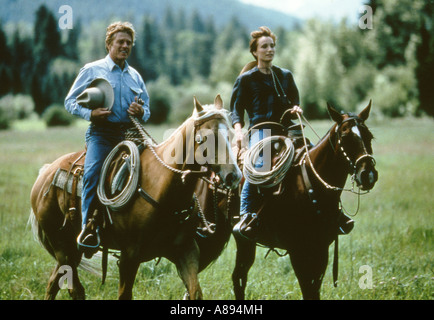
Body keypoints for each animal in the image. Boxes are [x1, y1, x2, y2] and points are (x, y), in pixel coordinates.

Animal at [29, 95, 242, 300]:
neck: (163, 187)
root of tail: (45, 174)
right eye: (206, 137)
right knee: (74, 288)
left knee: (54, 282)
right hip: (63, 247)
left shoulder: (186, 251)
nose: (234, 175)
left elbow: (195, 292)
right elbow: (124, 294)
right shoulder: (129, 257)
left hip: (70, 250)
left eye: (230, 135)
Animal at [192, 102, 376, 300]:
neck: (310, 182)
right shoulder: (297, 250)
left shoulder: (321, 248)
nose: (368, 174)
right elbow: (307, 288)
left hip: (243, 240)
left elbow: (314, 290)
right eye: (345, 136)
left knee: (238, 277)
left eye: (369, 136)